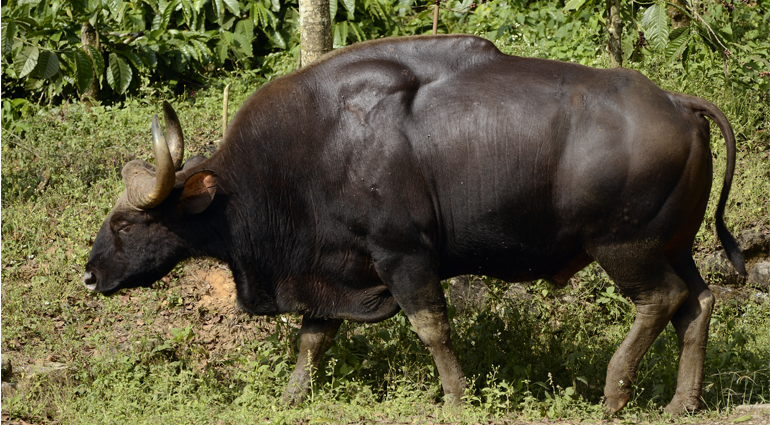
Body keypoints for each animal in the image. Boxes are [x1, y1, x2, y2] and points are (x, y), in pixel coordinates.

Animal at [83, 34, 746, 414]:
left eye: (126, 223)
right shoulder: (333, 267)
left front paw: (455, 399)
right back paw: (682, 403)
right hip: (674, 245)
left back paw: (614, 392)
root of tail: (678, 103)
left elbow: (432, 329)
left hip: (625, 246)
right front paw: (292, 398)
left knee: (660, 300)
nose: (89, 276)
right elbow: (313, 338)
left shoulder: (402, 256)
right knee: (699, 302)